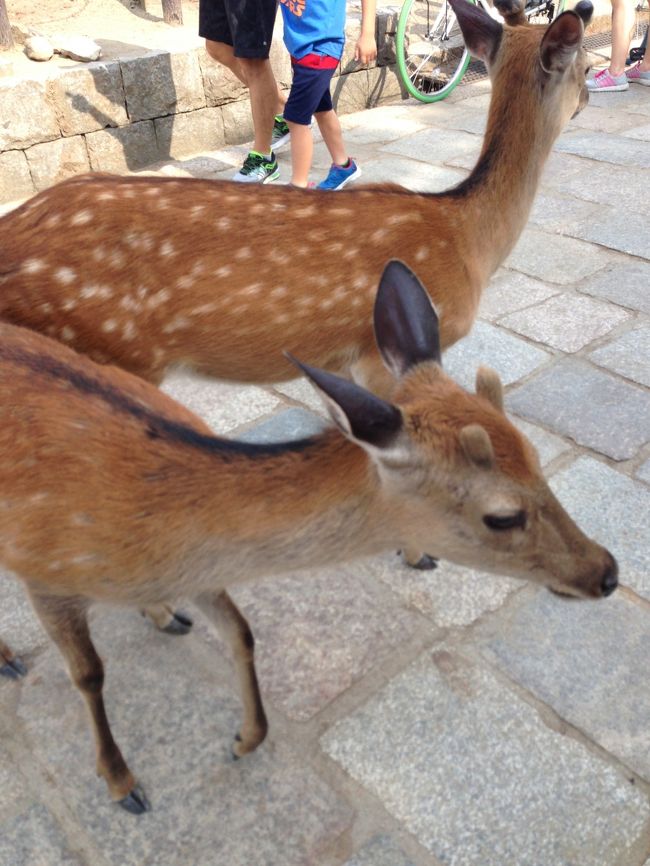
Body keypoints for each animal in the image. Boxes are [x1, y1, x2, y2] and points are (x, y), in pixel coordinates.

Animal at [0, 262, 616, 808]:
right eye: (503, 516)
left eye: (536, 454)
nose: (606, 572)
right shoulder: (44, 574)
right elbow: (88, 674)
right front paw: (123, 785)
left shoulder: (200, 571)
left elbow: (241, 633)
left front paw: (244, 739)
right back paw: (13, 660)